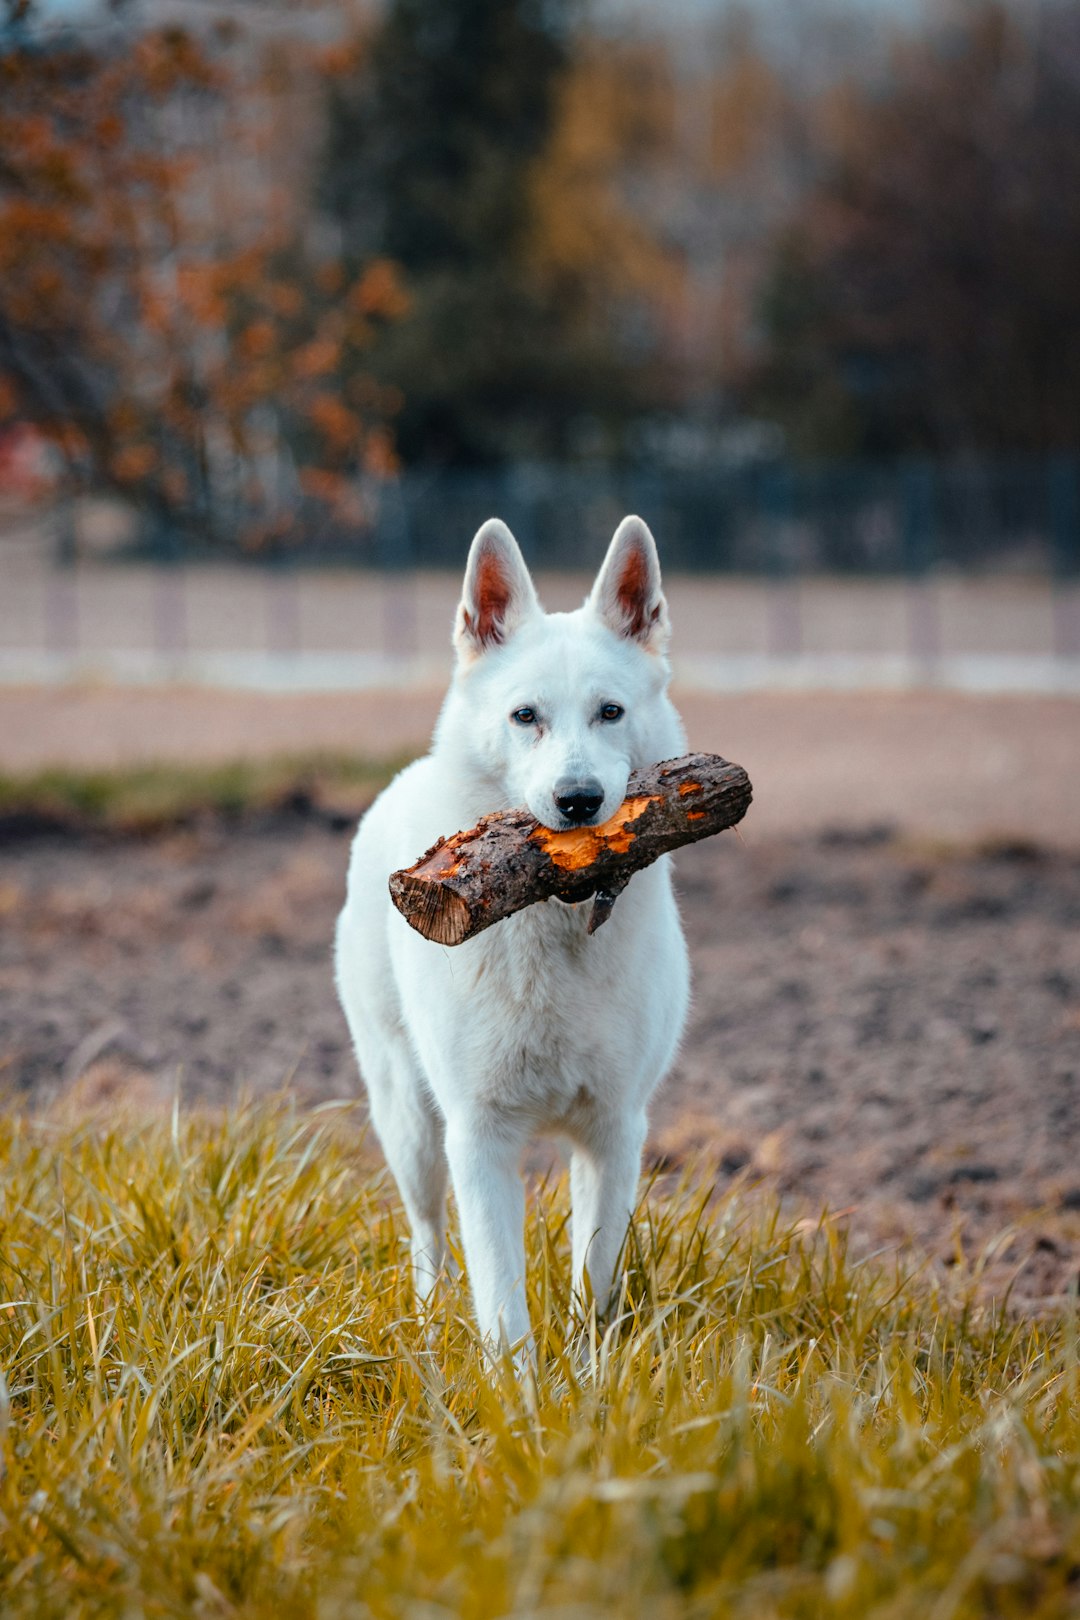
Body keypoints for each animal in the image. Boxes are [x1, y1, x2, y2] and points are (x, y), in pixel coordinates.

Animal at [335, 511, 693, 1347]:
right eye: (525, 716)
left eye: (610, 712)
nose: (578, 800)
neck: (552, 923)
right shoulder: (479, 1138)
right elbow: (503, 1304)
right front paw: (517, 1384)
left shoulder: (614, 1132)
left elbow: (595, 1282)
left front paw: (590, 1369)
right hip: (410, 1124)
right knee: (427, 1237)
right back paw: (430, 1323)